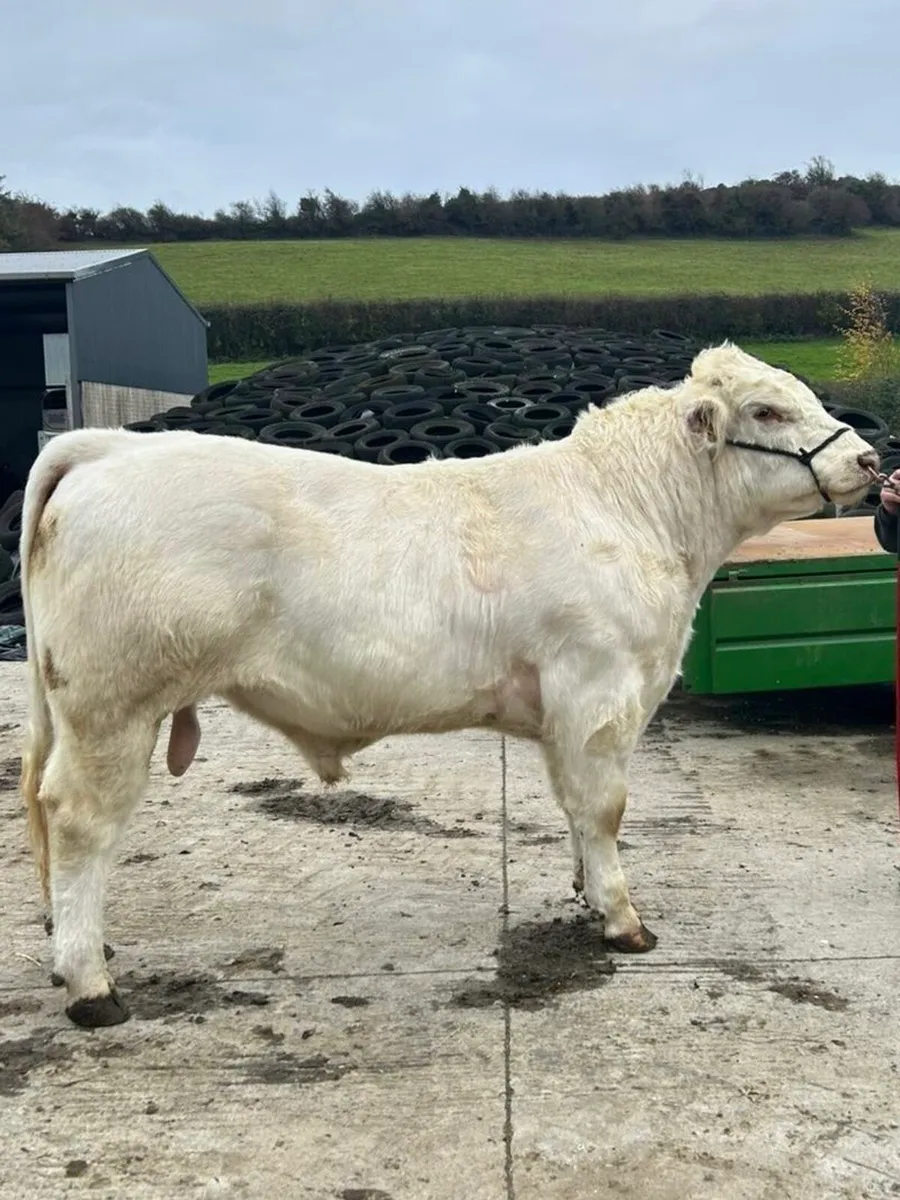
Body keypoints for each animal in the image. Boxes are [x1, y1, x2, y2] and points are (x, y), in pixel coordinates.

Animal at [17, 342, 878, 1028]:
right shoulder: (598, 691)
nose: (869, 461)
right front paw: (622, 919)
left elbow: (577, 809)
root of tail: (107, 448)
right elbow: (604, 807)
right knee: (80, 822)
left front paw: (584, 890)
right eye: (766, 409)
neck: (634, 512)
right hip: (113, 704)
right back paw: (91, 985)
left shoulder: (568, 715)